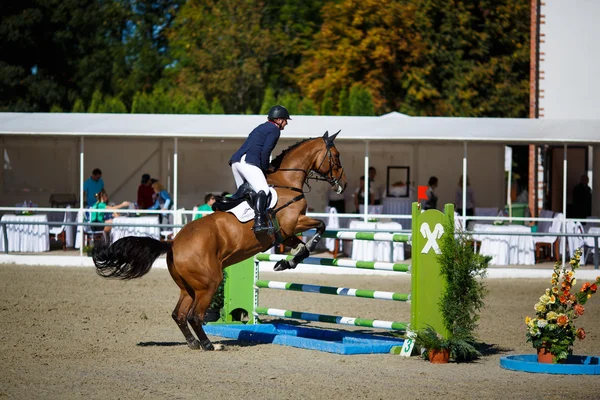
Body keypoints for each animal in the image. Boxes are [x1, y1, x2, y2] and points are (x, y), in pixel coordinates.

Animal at [91, 131, 350, 350]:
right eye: (336, 156)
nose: (344, 184)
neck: (286, 181)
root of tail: (173, 244)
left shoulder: (285, 231)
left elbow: (298, 244)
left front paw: (286, 262)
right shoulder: (293, 223)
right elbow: (320, 226)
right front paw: (300, 254)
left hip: (189, 287)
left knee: (179, 314)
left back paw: (193, 343)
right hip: (209, 283)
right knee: (195, 315)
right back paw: (209, 345)